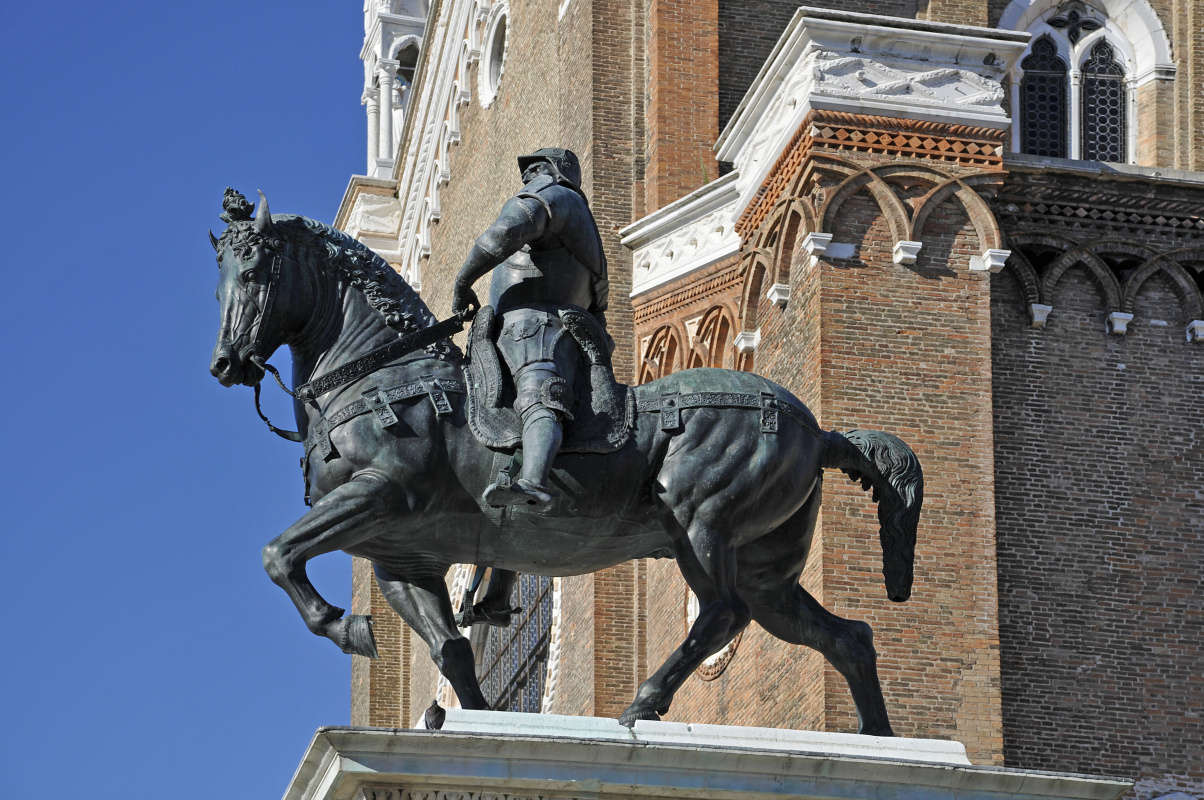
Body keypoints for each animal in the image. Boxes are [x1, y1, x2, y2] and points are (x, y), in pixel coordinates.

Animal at [207, 192, 919, 732]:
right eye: (220, 283)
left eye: (255, 273)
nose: (224, 363)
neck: (390, 373)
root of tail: (816, 427)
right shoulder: (400, 561)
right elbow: (453, 650)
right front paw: (472, 716)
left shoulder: (379, 494)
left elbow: (278, 554)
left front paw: (344, 624)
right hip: (766, 568)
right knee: (846, 636)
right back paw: (879, 741)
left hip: (700, 525)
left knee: (722, 613)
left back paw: (644, 703)